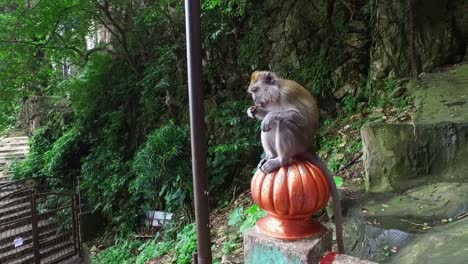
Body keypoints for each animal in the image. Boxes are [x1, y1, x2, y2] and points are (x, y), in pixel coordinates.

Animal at [249, 70, 344, 254]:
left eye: (255, 90)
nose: (255, 101)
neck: (276, 94)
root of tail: (306, 148)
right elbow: (264, 118)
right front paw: (252, 111)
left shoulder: (287, 95)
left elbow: (297, 117)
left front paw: (269, 115)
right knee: (269, 127)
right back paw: (270, 156)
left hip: (298, 141)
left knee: (281, 123)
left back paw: (281, 160)